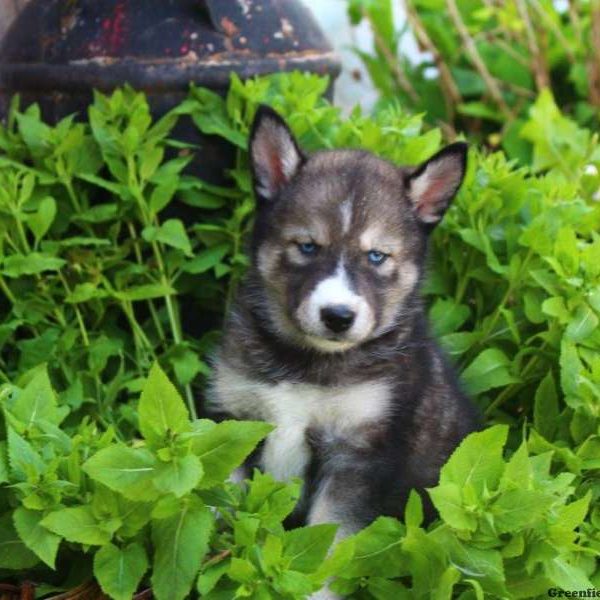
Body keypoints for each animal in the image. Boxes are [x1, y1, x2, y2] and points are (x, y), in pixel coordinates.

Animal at [209, 106, 480, 540]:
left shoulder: (359, 452)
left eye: (376, 256)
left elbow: (333, 532)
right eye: (307, 246)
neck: (307, 362)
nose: (337, 316)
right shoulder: (235, 417)